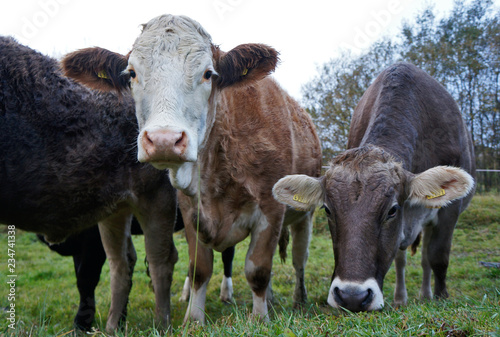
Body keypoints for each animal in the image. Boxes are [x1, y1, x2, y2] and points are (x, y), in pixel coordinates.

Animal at [0, 35, 179, 330]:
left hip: (157, 198)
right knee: (123, 262)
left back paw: (162, 325)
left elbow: (86, 276)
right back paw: (112, 327)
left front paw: (82, 323)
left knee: (160, 260)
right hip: (116, 207)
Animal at [61, 13, 320, 322]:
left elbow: (258, 270)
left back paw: (299, 299)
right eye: (132, 73)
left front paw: (259, 318)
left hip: (305, 214)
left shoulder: (271, 209)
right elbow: (200, 269)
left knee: (299, 260)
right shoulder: (189, 210)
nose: (164, 139)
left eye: (208, 73)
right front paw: (193, 320)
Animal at [272, 61, 474, 312]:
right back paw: (401, 297)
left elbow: (438, 256)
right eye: (328, 210)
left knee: (426, 256)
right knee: (402, 257)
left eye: (392, 210)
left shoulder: (450, 210)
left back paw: (426, 294)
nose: (352, 296)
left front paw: (441, 296)